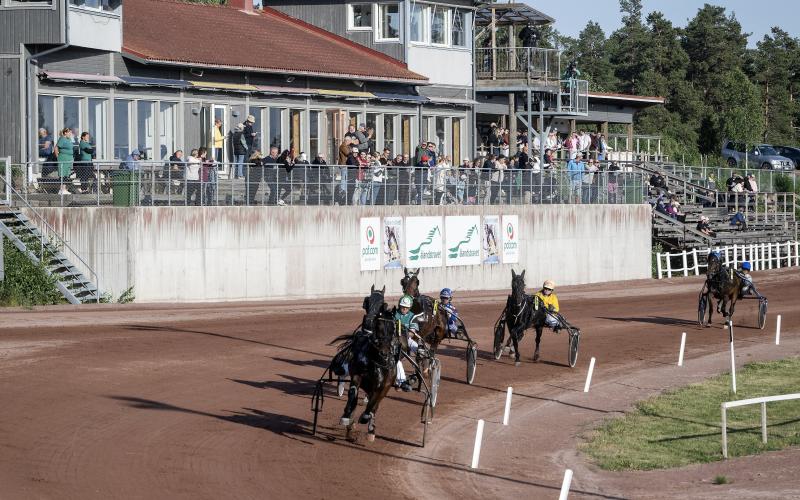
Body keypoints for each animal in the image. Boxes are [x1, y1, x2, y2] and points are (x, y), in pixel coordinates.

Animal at [326, 286, 398, 442]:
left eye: (393, 328)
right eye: (379, 325)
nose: (384, 352)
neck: (376, 359)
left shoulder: (382, 386)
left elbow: (373, 404)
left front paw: (366, 419)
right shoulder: (357, 375)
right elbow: (352, 395)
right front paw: (347, 418)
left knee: (375, 405)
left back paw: (370, 428)